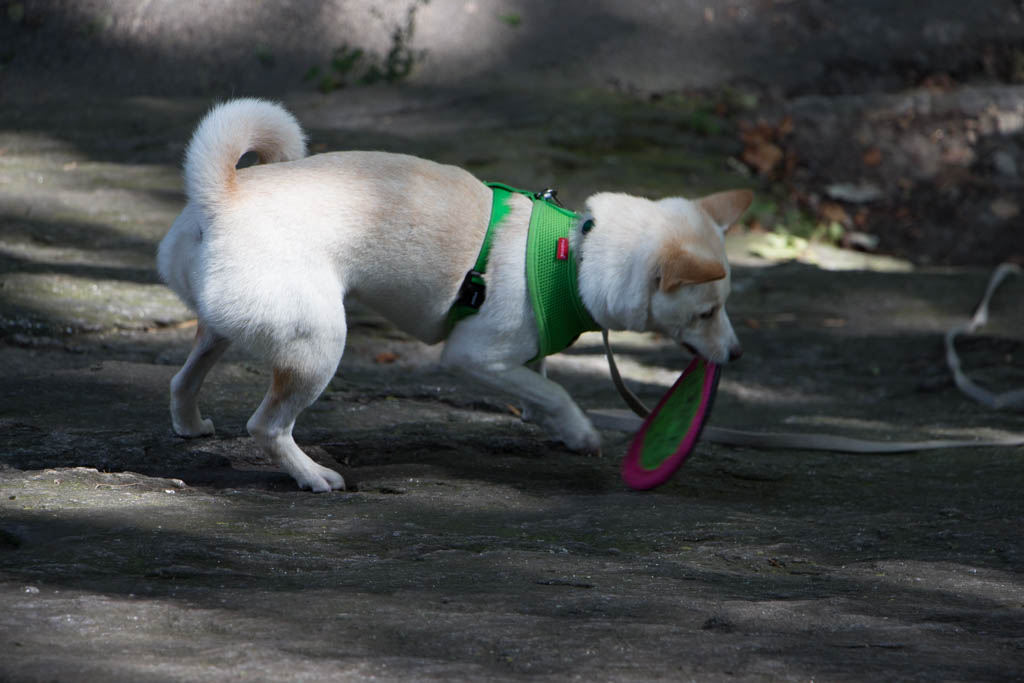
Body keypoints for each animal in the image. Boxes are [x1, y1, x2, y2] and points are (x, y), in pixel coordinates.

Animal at [159, 97, 753, 491]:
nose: (736, 354)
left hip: (223, 330)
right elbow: (556, 392)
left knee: (183, 379)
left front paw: (560, 428)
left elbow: (540, 389)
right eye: (707, 313)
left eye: (723, 309)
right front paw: (580, 430)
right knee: (267, 425)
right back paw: (311, 475)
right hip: (317, 346)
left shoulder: (522, 358)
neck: (577, 253)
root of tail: (223, 197)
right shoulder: (474, 357)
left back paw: (189, 427)